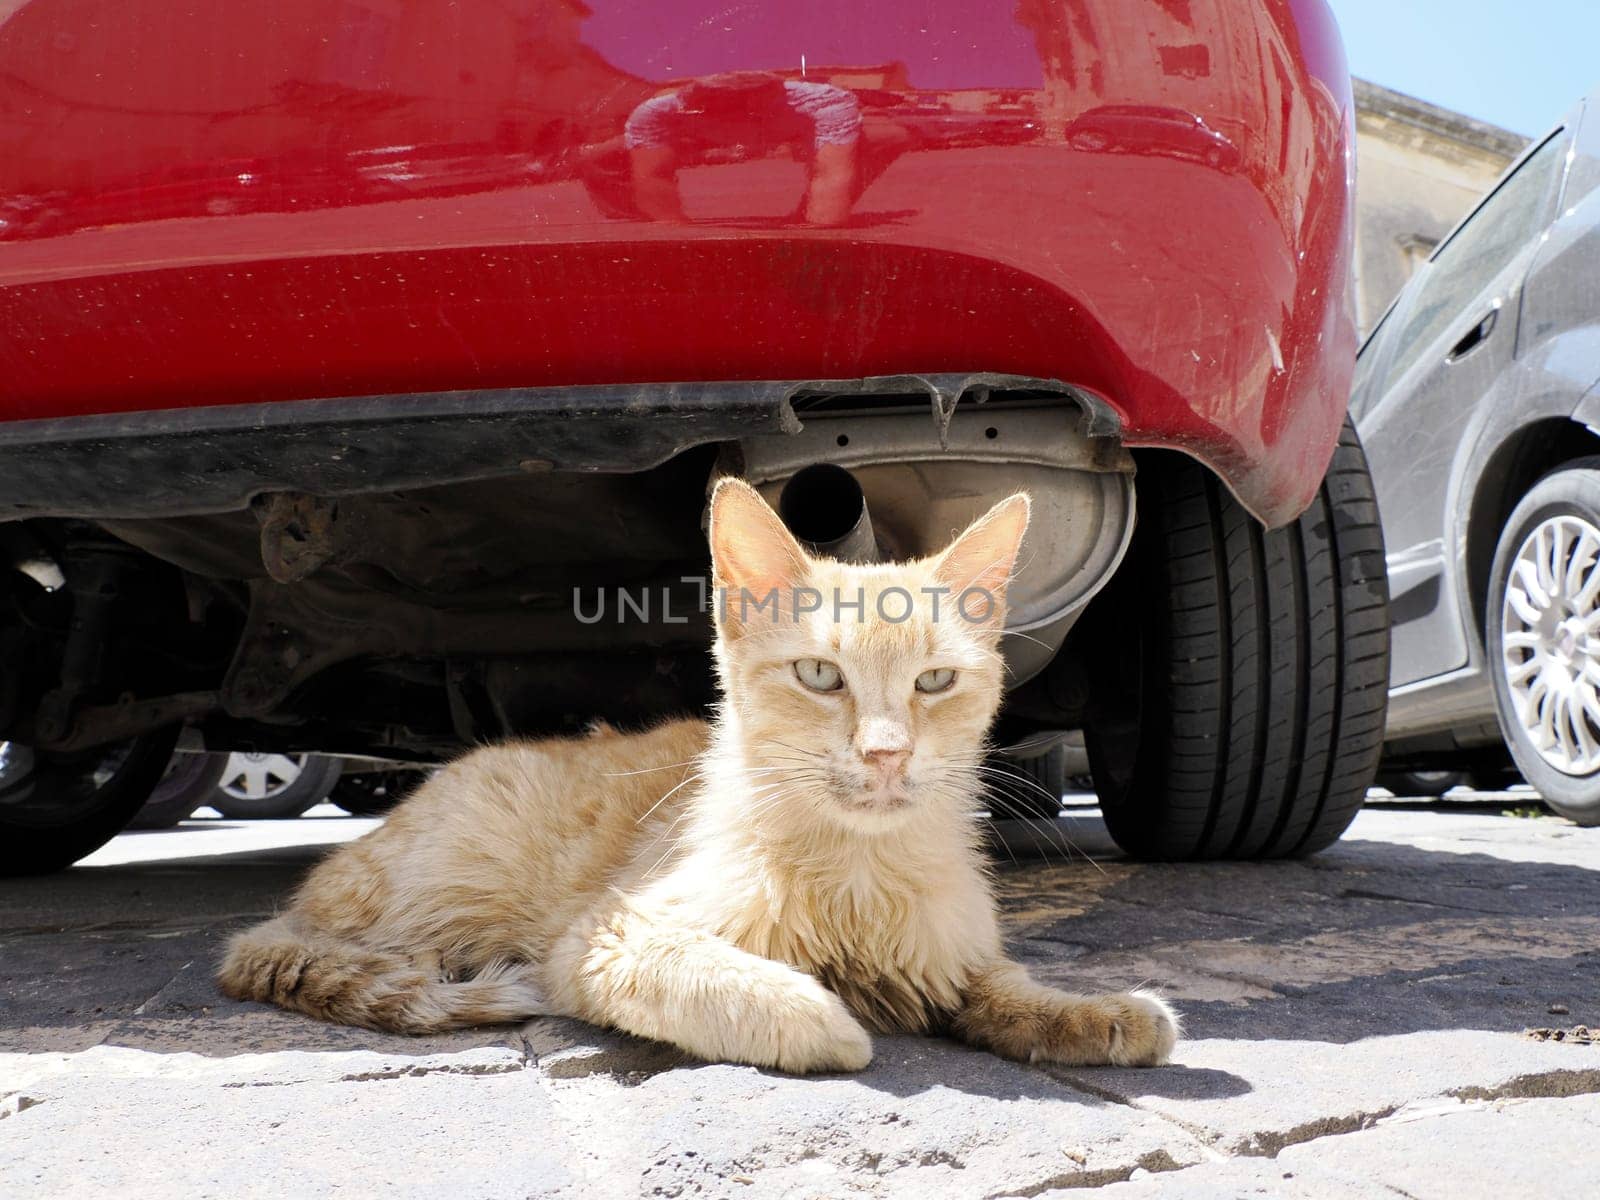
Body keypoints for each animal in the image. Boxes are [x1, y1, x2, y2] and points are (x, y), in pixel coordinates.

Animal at [219, 480, 1177, 1068]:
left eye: (935, 682)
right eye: (820, 675)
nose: (886, 751)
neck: (858, 875)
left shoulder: (953, 949)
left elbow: (1004, 984)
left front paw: (1099, 1012)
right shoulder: (608, 938)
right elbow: (730, 982)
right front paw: (826, 1017)